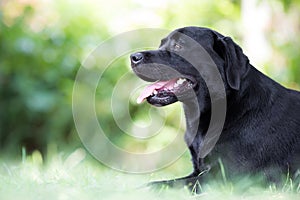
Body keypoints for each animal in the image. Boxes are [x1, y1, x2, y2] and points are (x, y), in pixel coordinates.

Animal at [130, 27, 300, 190]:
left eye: (178, 46)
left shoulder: (229, 178)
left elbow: (162, 184)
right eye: (161, 44)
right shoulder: (199, 170)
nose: (133, 57)